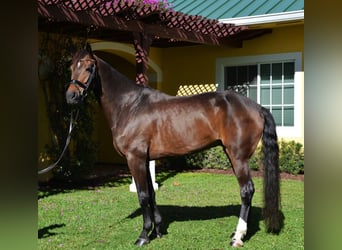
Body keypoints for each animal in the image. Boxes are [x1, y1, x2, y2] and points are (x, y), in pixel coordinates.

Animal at [65, 44, 282, 246]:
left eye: (89, 67)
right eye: (71, 67)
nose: (71, 97)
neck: (130, 106)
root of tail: (257, 108)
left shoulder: (135, 158)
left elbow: (143, 195)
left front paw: (143, 236)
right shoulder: (145, 160)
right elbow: (152, 193)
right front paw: (158, 230)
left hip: (239, 157)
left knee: (246, 191)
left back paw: (238, 237)